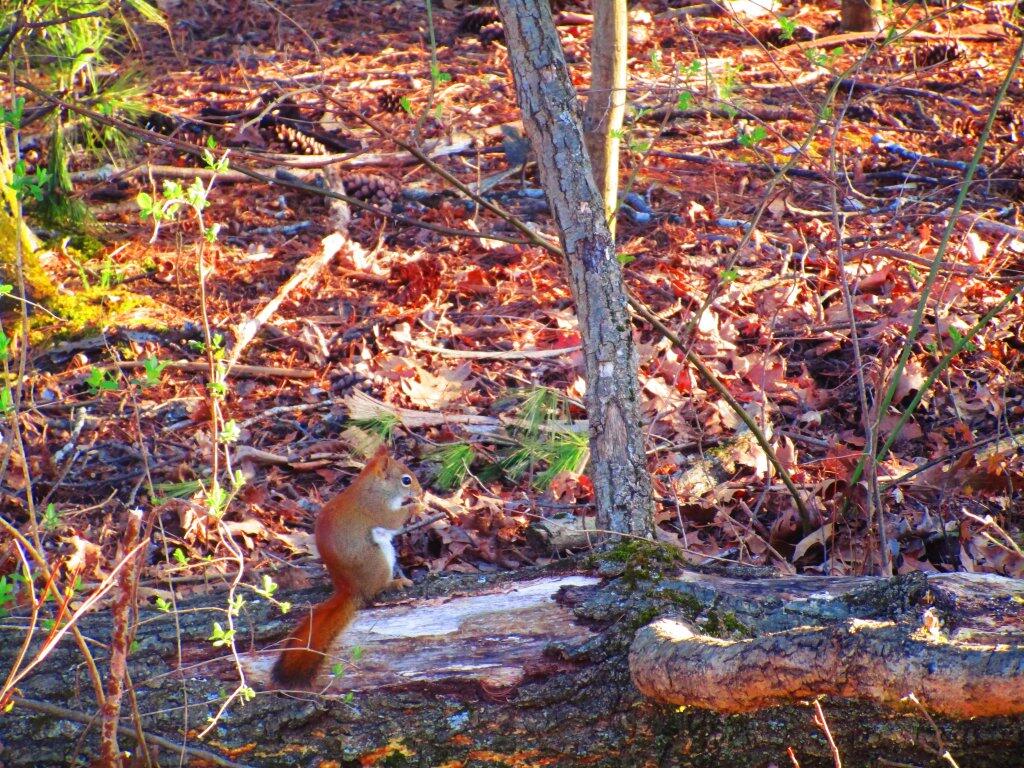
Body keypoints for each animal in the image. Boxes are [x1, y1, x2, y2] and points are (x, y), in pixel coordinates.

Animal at [271, 445, 422, 688]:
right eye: (406, 480)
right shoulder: (376, 508)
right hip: (378, 560)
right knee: (375, 589)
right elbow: (393, 521)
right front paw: (417, 506)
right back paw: (396, 583)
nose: (420, 490)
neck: (373, 487)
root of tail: (349, 589)